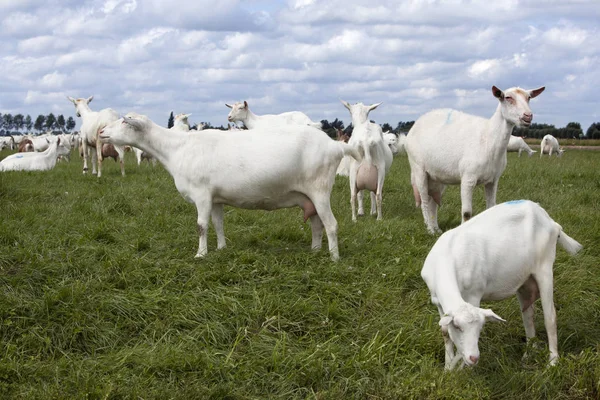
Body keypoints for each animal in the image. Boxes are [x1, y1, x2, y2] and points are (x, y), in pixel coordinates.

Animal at [99, 113, 360, 262]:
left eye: (124, 122)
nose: (101, 132)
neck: (177, 148)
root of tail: (336, 146)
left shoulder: (202, 194)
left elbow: (201, 226)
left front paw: (200, 254)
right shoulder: (215, 198)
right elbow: (218, 224)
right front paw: (221, 248)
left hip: (320, 190)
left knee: (331, 225)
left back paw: (334, 258)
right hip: (309, 197)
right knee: (317, 224)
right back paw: (315, 250)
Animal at [406, 85, 548, 234]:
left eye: (529, 97)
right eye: (508, 98)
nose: (528, 116)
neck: (488, 137)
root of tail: (416, 124)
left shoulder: (493, 180)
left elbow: (491, 206)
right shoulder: (468, 178)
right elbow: (467, 212)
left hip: (437, 176)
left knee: (432, 200)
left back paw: (436, 229)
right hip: (418, 168)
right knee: (424, 200)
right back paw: (430, 230)